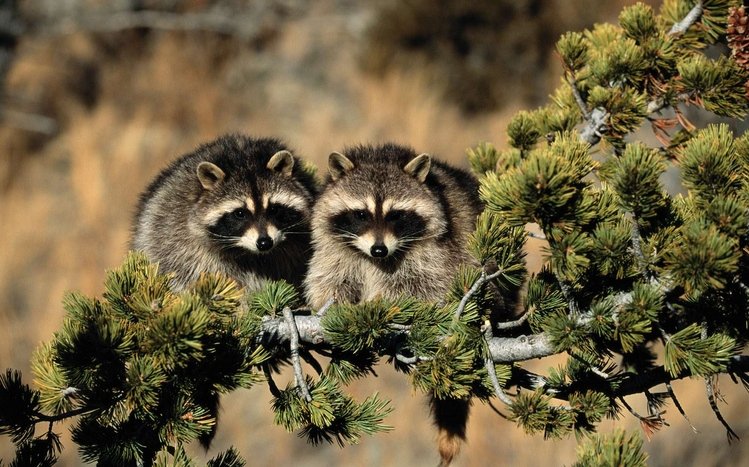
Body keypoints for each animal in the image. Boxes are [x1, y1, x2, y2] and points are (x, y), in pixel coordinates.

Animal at [304, 143, 481, 465]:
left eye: (396, 215)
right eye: (360, 213)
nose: (378, 249)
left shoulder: (435, 252)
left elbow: (420, 287)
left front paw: (378, 308)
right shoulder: (335, 249)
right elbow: (330, 279)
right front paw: (337, 309)